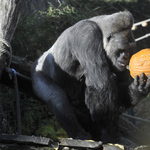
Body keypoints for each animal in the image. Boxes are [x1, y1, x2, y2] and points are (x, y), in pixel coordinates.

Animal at [31, 11, 150, 143]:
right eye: (122, 49)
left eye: (130, 48)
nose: (126, 56)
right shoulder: (87, 34)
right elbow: (101, 85)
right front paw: (110, 134)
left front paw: (138, 90)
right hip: (37, 73)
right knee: (57, 97)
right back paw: (78, 133)